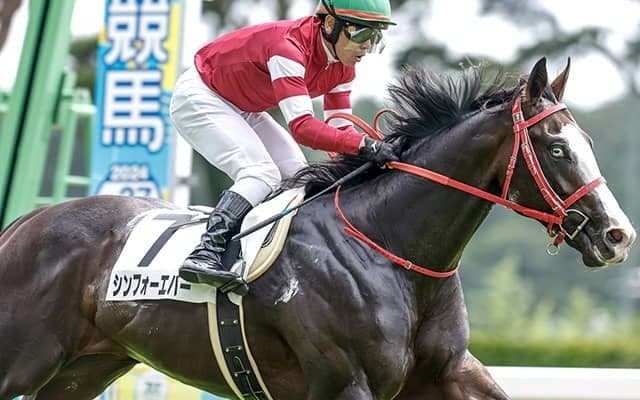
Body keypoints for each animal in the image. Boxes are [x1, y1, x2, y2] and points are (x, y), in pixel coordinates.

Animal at [0, 57, 635, 400]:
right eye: (557, 147)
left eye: (587, 141)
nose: (617, 236)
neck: (393, 252)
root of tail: (26, 223)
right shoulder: (347, 381)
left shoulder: (450, 373)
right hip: (24, 356)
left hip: (86, 367)